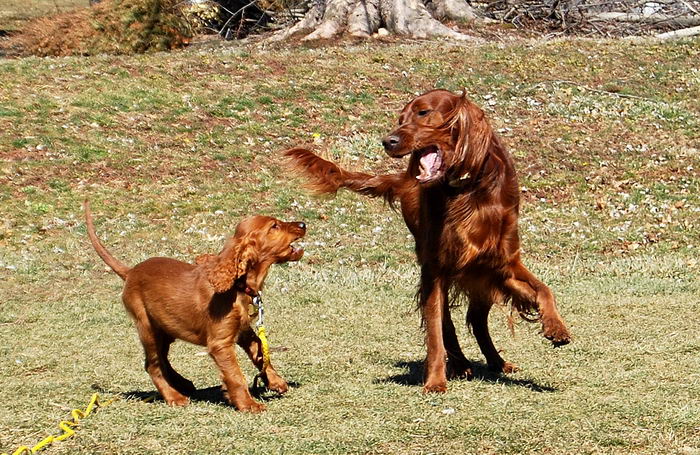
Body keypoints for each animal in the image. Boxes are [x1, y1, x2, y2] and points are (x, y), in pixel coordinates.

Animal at [85, 201, 306, 412]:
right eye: (274, 226)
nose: (303, 224)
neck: (237, 285)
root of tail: (130, 272)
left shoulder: (243, 329)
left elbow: (260, 350)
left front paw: (275, 381)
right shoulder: (220, 343)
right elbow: (235, 375)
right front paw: (248, 404)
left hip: (165, 328)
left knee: (162, 360)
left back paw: (182, 383)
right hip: (147, 328)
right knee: (152, 365)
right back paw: (174, 396)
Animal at [288, 90, 572, 396]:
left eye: (423, 113)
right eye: (401, 119)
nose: (388, 141)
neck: (466, 189)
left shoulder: (501, 264)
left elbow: (544, 290)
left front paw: (556, 328)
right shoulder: (437, 268)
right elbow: (436, 331)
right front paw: (435, 381)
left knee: (477, 320)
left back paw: (497, 362)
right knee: (448, 321)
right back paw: (460, 364)